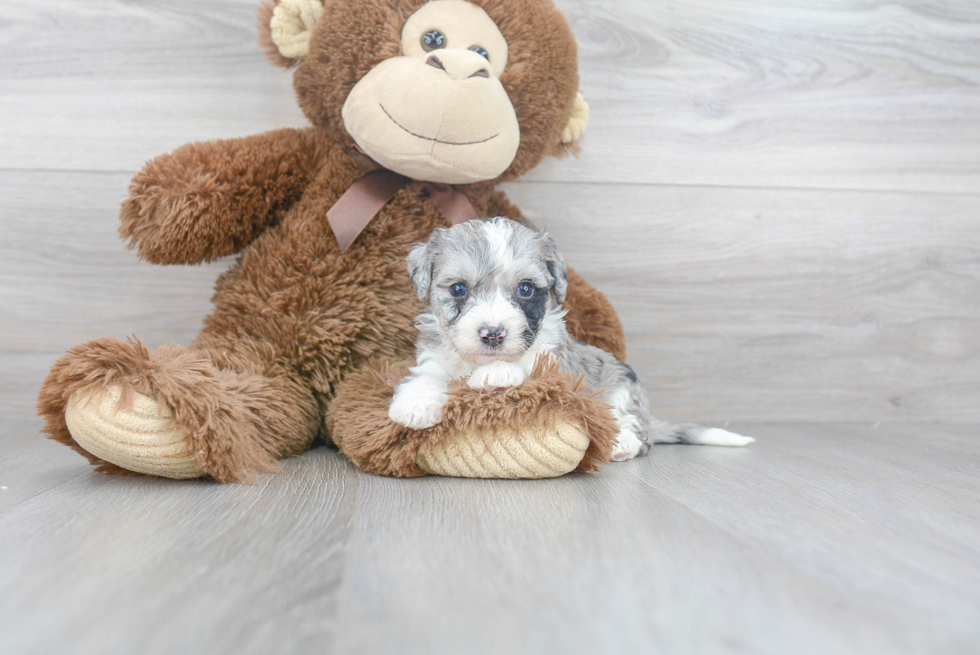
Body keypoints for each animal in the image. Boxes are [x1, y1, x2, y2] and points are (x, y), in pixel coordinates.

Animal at [386, 218, 756, 458]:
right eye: (459, 289)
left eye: (526, 289)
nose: (493, 334)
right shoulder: (436, 356)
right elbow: (427, 376)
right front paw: (415, 404)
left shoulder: (560, 369)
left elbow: (531, 369)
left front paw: (499, 372)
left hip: (624, 387)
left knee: (638, 432)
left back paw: (621, 443)